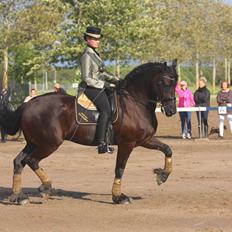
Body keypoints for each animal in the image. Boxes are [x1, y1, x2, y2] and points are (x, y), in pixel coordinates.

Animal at [0, 60, 178, 204]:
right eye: (163, 82)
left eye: (175, 83)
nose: (171, 110)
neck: (134, 103)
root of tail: (28, 104)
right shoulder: (127, 144)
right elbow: (119, 169)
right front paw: (118, 197)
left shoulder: (145, 140)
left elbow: (168, 149)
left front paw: (162, 175)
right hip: (49, 144)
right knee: (31, 161)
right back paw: (46, 188)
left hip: (34, 142)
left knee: (19, 161)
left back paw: (19, 196)